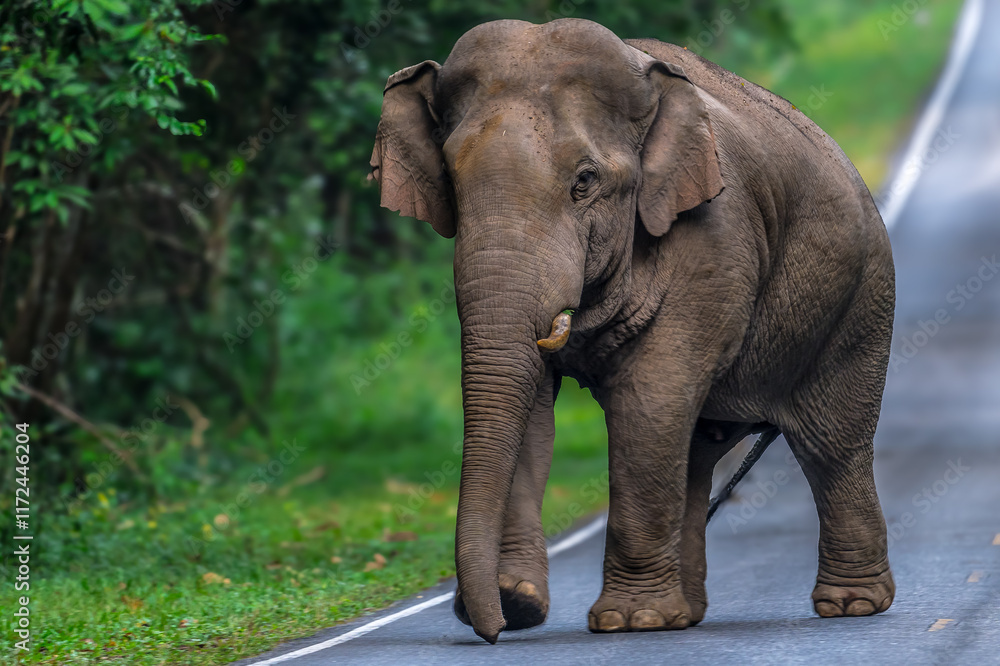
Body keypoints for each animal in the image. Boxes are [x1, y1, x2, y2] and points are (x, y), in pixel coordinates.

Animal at [369, 18, 895, 644]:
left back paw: (851, 606)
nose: (488, 631)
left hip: (862, 300)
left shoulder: (714, 238)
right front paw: (519, 602)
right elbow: (529, 403)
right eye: (450, 180)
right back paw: (686, 615)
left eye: (584, 182)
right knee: (698, 451)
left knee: (831, 444)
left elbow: (651, 397)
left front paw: (627, 621)